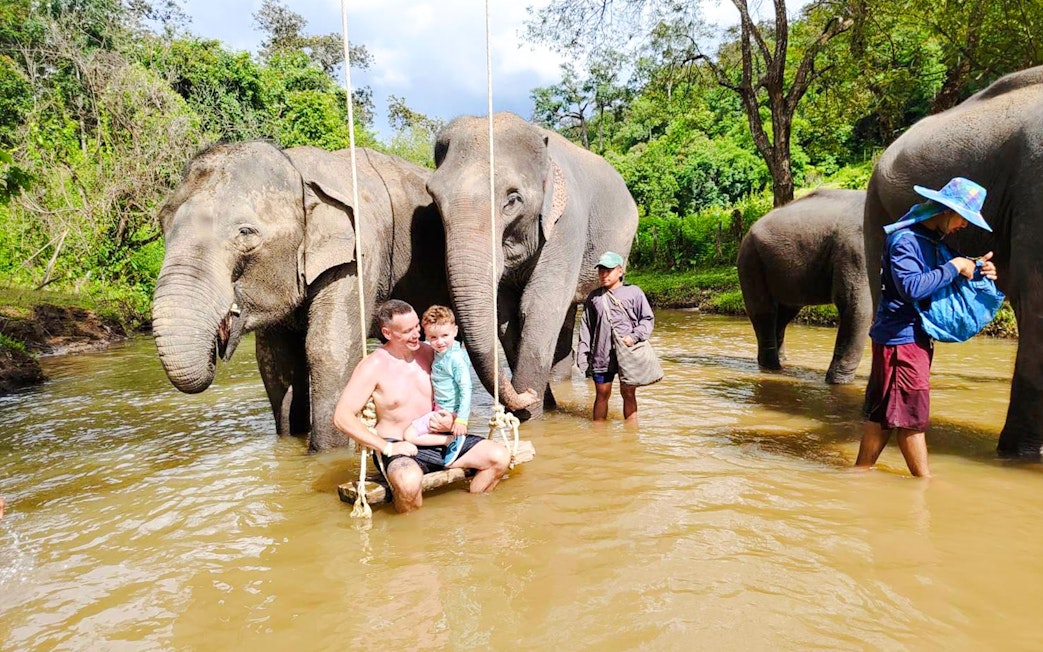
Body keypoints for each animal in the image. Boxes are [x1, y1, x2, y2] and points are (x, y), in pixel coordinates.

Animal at [152, 141, 449, 452]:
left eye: (245, 232)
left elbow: (330, 350)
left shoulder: (358, 257)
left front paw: (325, 455)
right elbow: (274, 361)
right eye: (162, 223)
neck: (297, 170)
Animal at [425, 112, 639, 419]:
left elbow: (538, 305)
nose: (527, 393)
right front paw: (533, 406)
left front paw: (531, 415)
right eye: (434, 198)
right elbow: (505, 314)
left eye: (513, 200)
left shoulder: (567, 222)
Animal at [738, 189, 871, 384]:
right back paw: (773, 369)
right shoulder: (856, 249)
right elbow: (855, 306)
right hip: (751, 260)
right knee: (764, 313)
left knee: (784, 314)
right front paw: (837, 384)